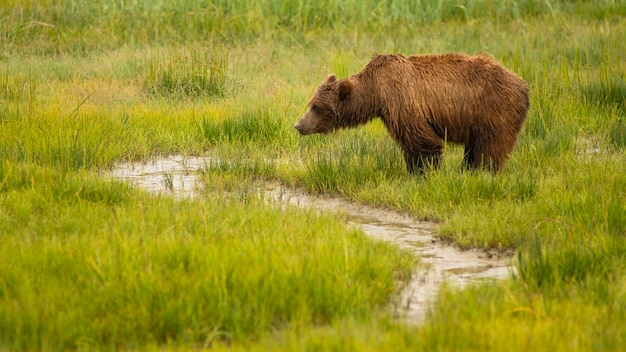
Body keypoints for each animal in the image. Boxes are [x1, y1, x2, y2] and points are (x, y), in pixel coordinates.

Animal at [292, 53, 528, 173]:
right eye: (310, 103)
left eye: (316, 107)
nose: (298, 125)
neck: (375, 92)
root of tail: (524, 86)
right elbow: (409, 142)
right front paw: (414, 169)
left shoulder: (402, 100)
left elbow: (422, 140)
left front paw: (424, 172)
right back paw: (467, 170)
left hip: (494, 110)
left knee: (490, 147)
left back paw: (482, 172)